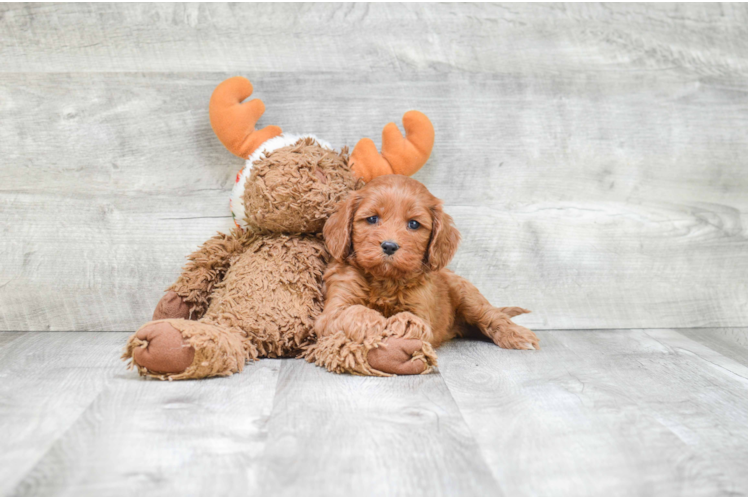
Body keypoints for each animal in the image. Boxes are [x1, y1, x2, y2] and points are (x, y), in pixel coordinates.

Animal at [306, 175, 540, 376]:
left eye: (414, 224)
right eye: (372, 219)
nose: (389, 246)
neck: (385, 280)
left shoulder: (421, 305)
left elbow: (416, 321)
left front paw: (406, 323)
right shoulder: (332, 311)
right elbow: (353, 311)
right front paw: (375, 321)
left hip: (468, 296)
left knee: (492, 316)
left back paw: (518, 335)